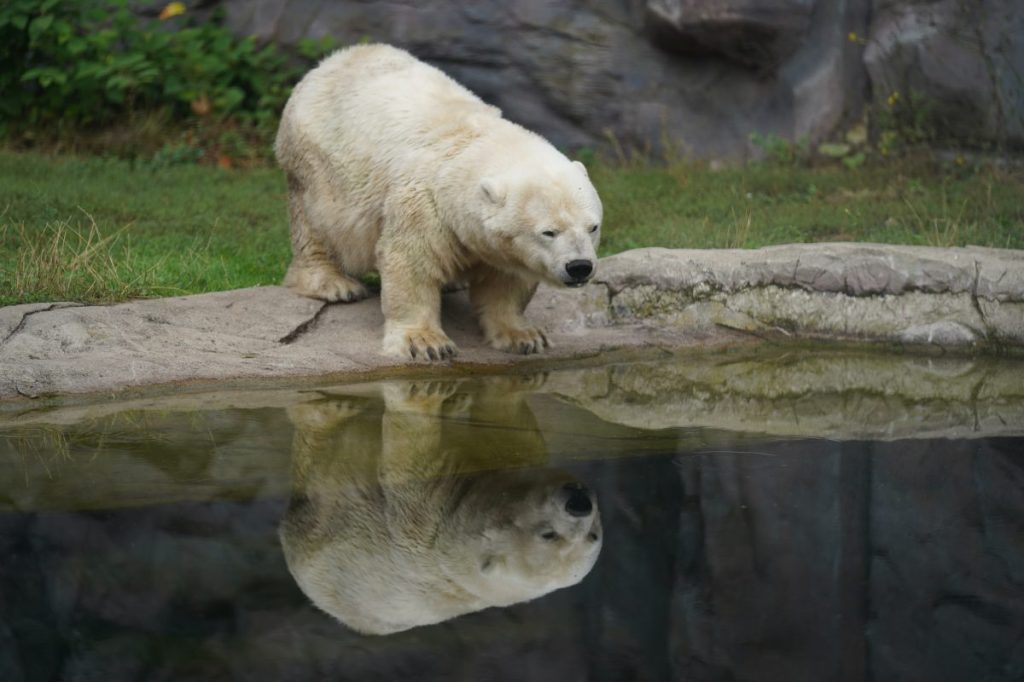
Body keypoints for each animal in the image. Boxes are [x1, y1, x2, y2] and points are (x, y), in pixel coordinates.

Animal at [276, 43, 602, 358]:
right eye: (548, 231)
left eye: (593, 227)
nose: (580, 267)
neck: (470, 147)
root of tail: (332, 60)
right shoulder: (425, 204)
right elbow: (412, 262)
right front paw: (425, 343)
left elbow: (508, 280)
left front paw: (524, 336)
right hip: (317, 168)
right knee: (314, 224)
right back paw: (334, 284)